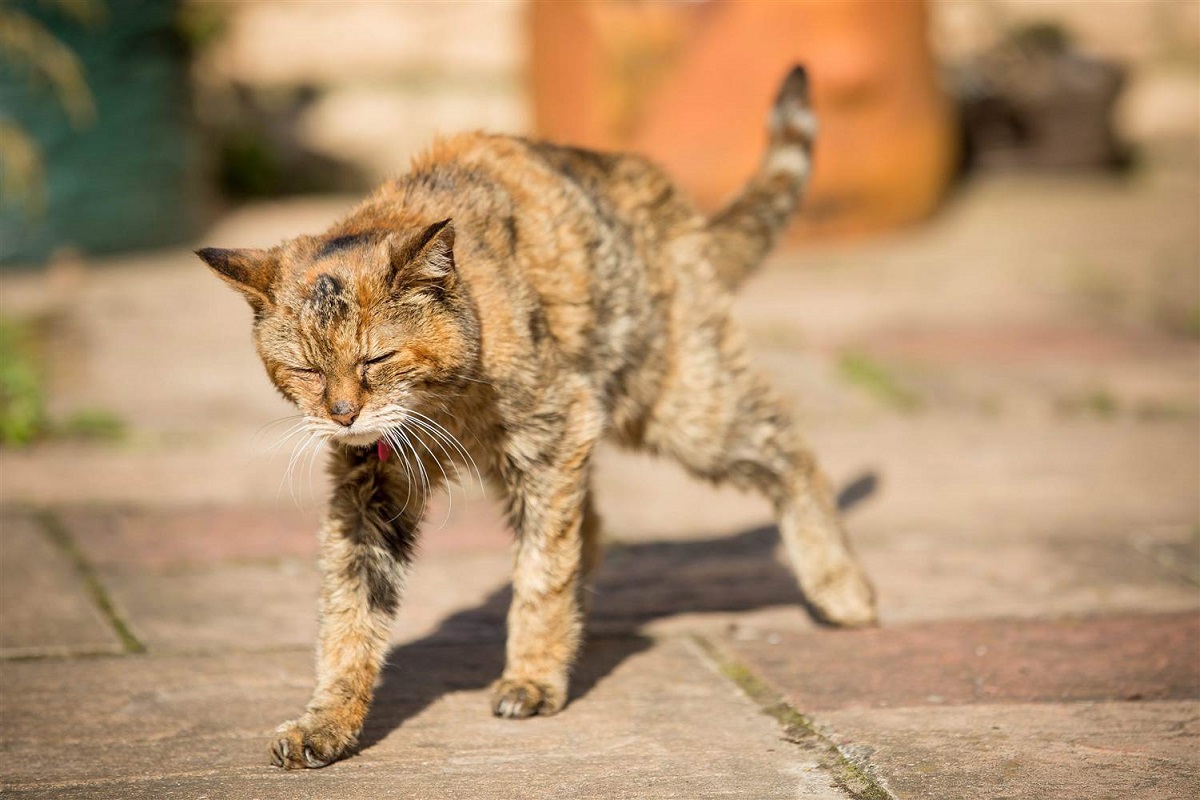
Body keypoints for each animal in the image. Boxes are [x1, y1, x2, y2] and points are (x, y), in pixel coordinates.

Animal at [194, 67, 873, 767]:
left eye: (376, 357)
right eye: (304, 369)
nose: (343, 414)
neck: (444, 406)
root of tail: (667, 198)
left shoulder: (554, 435)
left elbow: (542, 572)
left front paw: (533, 677)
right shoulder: (367, 490)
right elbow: (348, 612)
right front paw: (327, 721)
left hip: (682, 406)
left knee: (790, 451)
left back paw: (840, 588)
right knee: (593, 523)